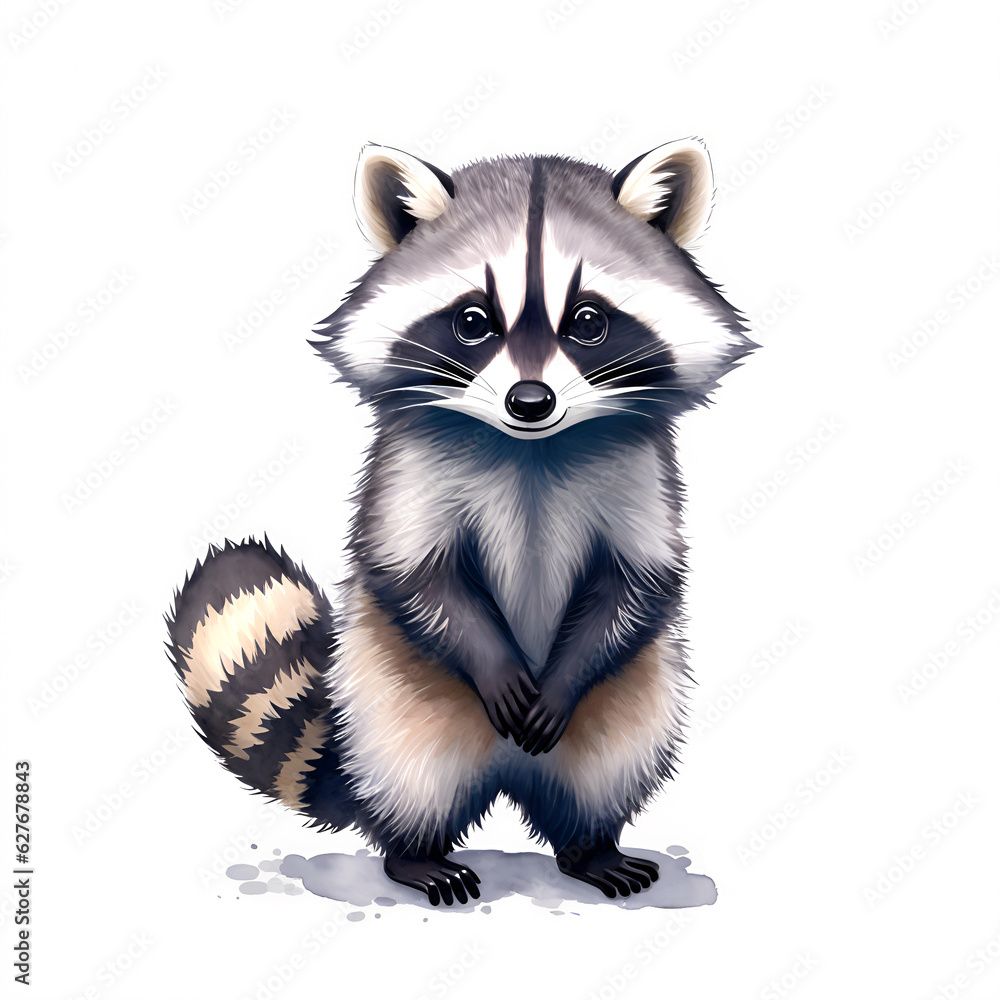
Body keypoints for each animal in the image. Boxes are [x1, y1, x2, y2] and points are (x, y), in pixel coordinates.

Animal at [167, 139, 754, 906]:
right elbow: (413, 573)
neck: (532, 447)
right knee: (410, 775)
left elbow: (639, 581)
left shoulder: (642, 474)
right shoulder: (409, 472)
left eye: (589, 321)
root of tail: (508, 771)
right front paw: (495, 663)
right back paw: (414, 852)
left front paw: (561, 682)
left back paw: (591, 846)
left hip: (635, 696)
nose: (530, 400)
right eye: (473, 321)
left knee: (610, 768)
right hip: (389, 693)